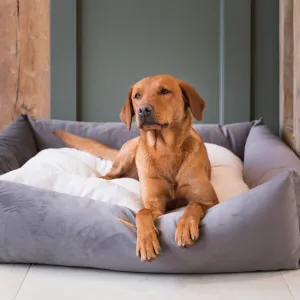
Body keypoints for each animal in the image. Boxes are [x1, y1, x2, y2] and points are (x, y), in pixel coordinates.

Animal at [53, 75, 218, 262]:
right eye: (137, 96)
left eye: (164, 91)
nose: (143, 109)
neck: (166, 149)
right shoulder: (154, 206)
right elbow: (142, 213)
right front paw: (146, 242)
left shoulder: (209, 200)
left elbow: (193, 205)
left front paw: (185, 227)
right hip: (128, 152)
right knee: (110, 174)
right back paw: (102, 179)